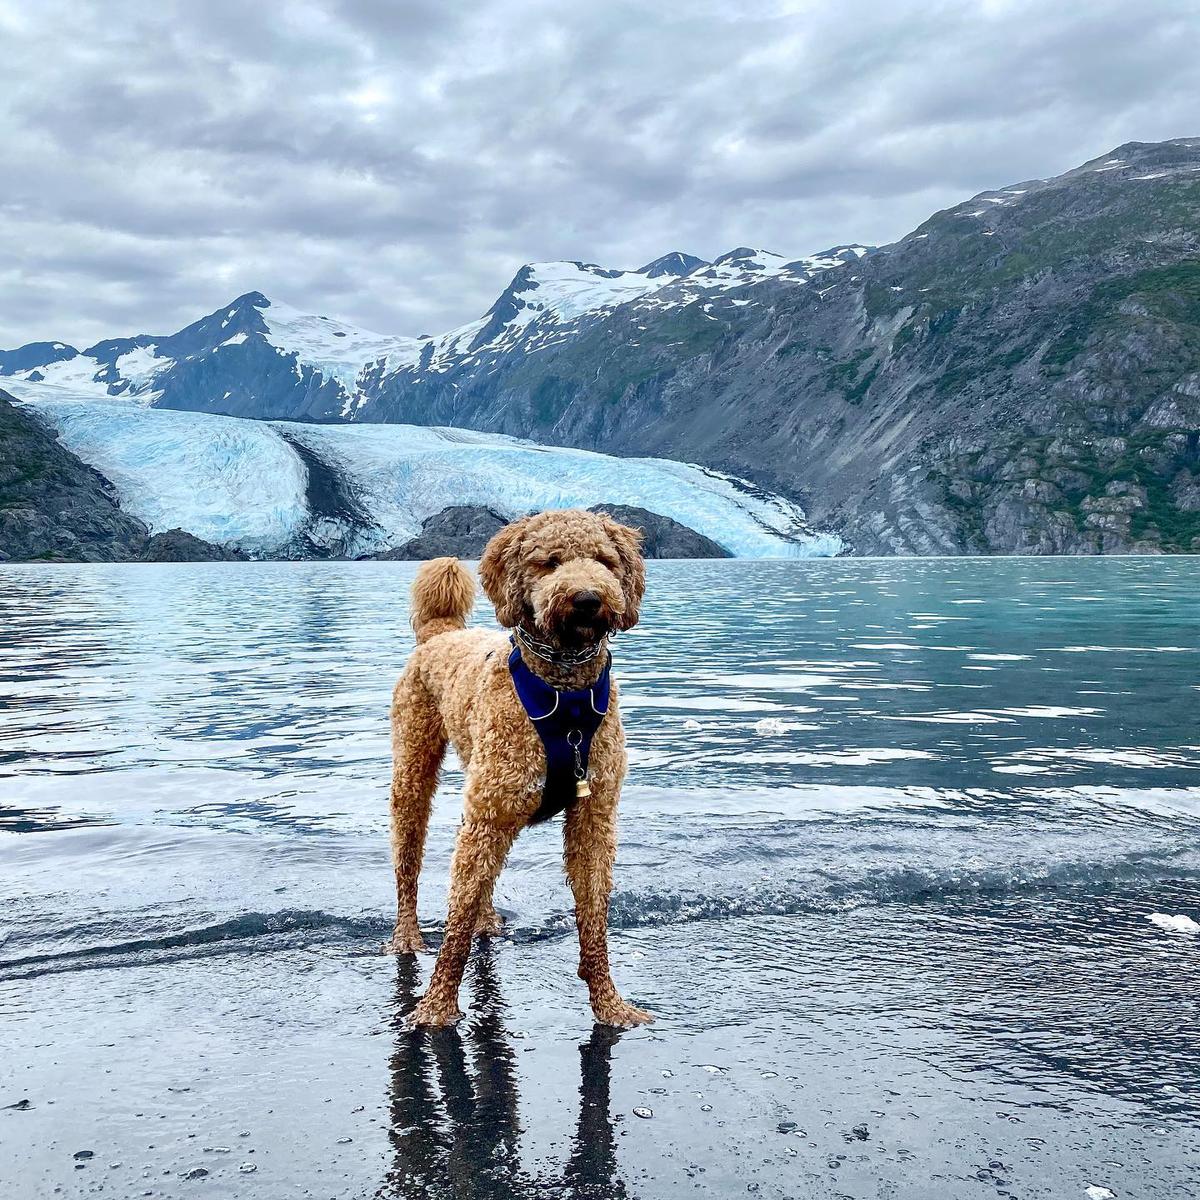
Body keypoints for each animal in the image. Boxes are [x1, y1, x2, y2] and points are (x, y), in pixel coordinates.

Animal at [384, 511, 652, 1027]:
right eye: (549, 562)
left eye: (604, 561)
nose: (587, 600)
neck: (565, 694)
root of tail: (441, 632)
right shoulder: (490, 810)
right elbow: (456, 921)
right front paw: (436, 1008)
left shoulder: (594, 815)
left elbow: (594, 916)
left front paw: (609, 1003)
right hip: (415, 771)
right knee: (410, 864)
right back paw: (406, 936)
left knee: (481, 878)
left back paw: (487, 920)